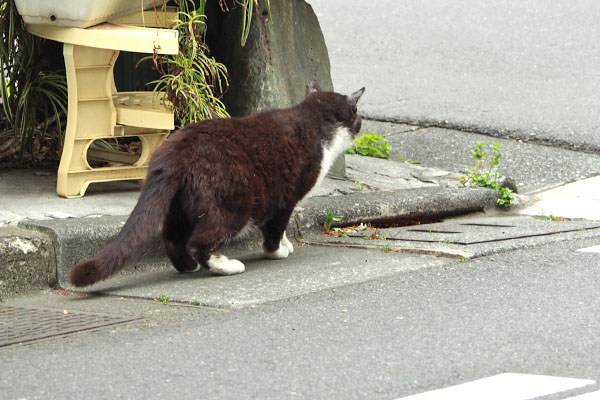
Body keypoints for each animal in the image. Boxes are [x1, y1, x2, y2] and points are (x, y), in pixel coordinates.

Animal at [68, 78, 364, 286]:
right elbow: (275, 228)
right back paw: (227, 266)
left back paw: (187, 266)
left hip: (180, 203)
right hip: (234, 203)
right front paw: (278, 250)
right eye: (357, 114)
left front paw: (286, 244)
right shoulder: (285, 198)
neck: (312, 122)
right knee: (200, 240)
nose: (361, 123)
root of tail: (177, 147)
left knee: (172, 237)